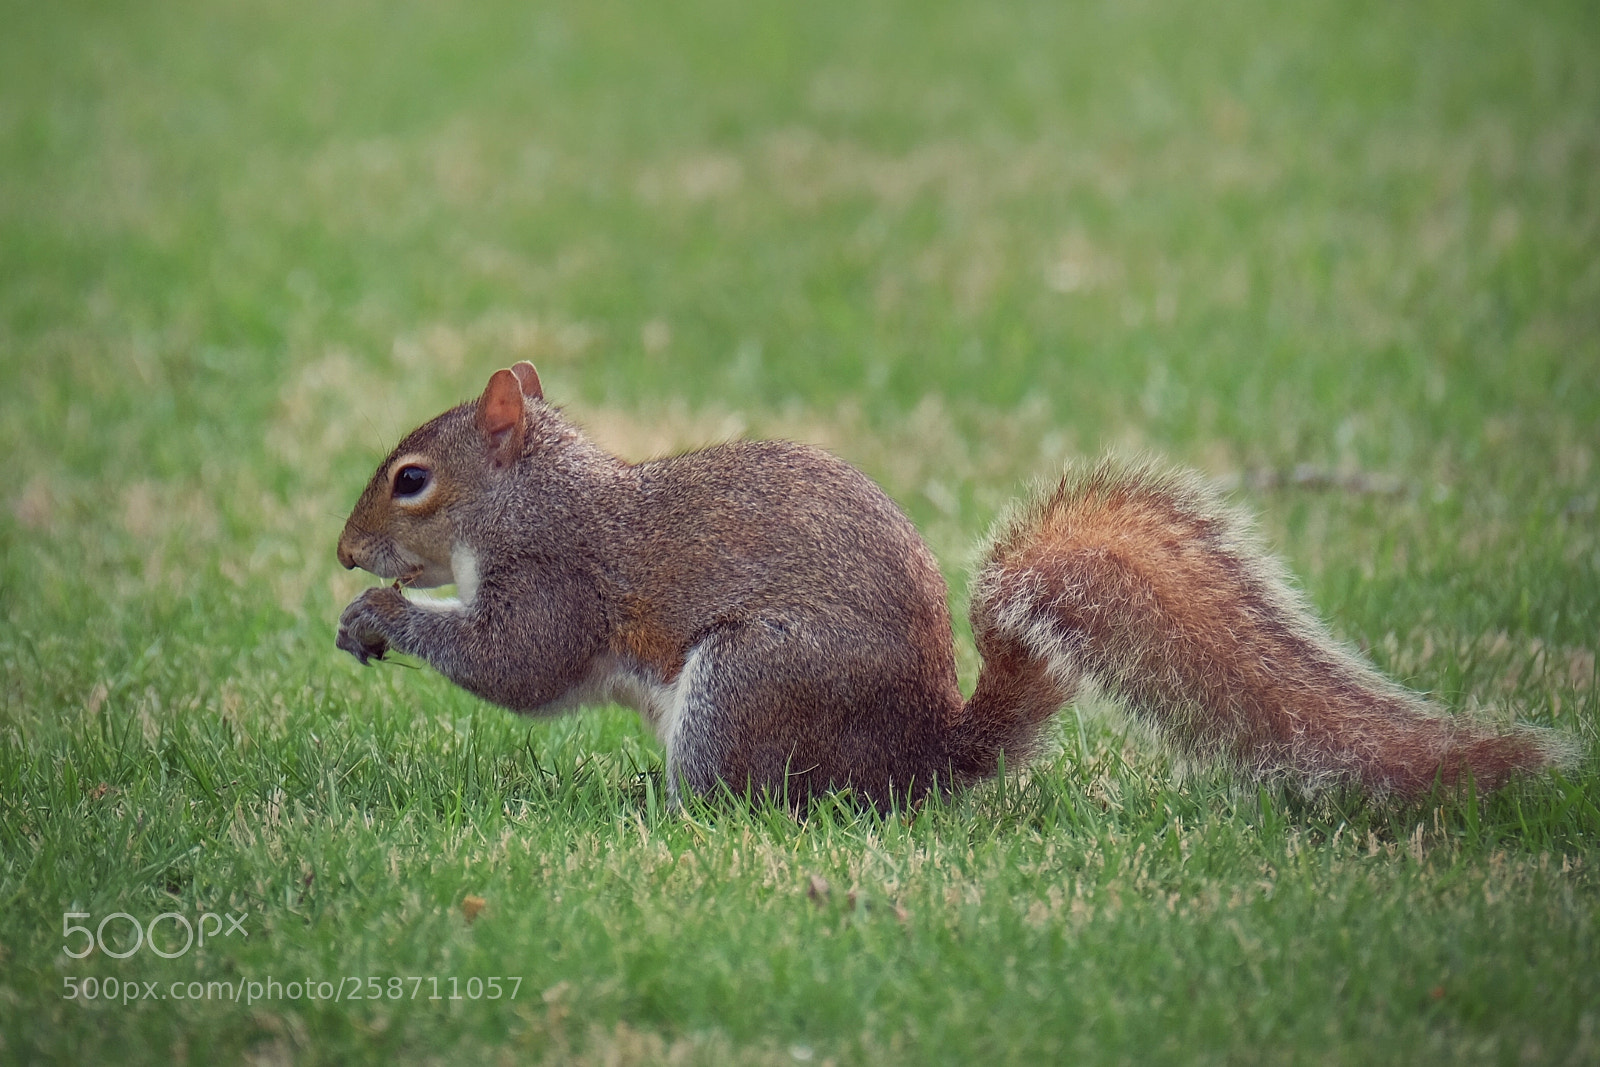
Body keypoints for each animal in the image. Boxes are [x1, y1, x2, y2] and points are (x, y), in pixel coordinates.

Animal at [336, 362, 1575, 807]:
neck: (535, 494)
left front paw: (382, 613)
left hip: (750, 685)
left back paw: (667, 809)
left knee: (765, 802)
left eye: (410, 479)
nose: (345, 550)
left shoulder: (559, 578)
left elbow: (517, 664)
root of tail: (923, 751)